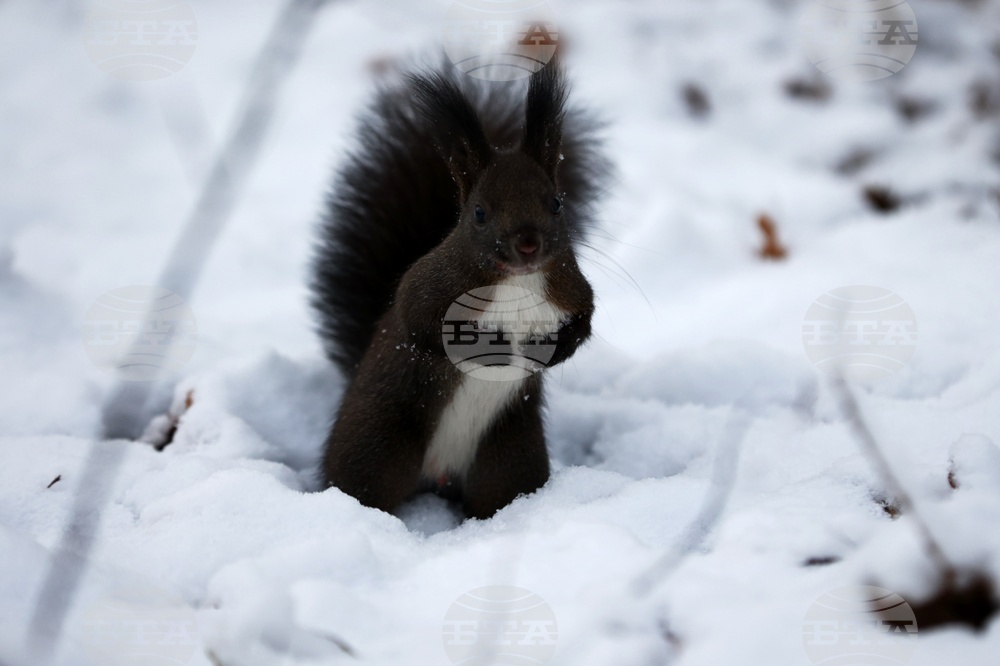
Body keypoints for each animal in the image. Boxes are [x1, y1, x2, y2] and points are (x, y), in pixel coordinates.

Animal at [310, 61, 608, 520]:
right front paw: (495, 347)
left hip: (509, 458)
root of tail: (438, 473)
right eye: (479, 213)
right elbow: (421, 325)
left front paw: (550, 349)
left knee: (497, 495)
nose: (528, 244)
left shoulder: (572, 290)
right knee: (360, 487)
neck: (517, 279)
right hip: (376, 446)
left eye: (557, 203)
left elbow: (584, 322)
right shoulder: (426, 287)